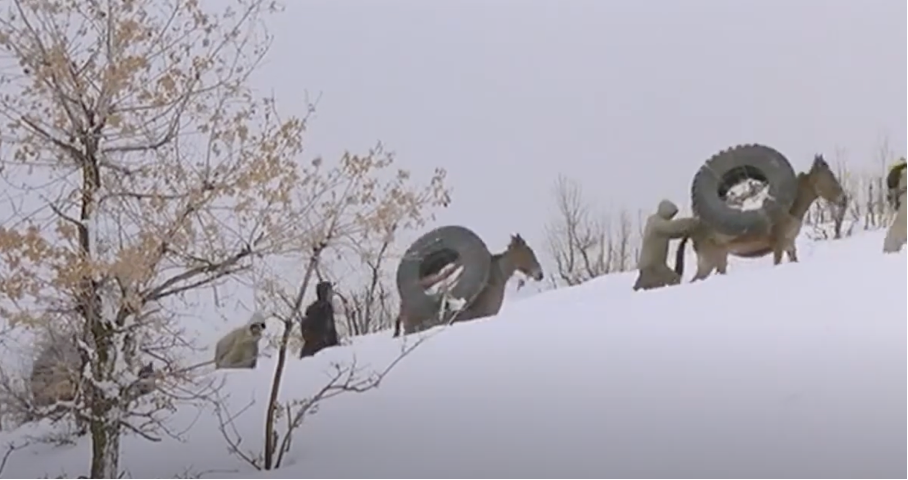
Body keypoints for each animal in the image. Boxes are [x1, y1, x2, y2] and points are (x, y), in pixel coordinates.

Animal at [676, 154, 846, 282]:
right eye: (829, 175)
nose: (843, 198)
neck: (788, 209)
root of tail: (693, 229)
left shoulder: (790, 245)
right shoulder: (778, 246)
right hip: (710, 262)